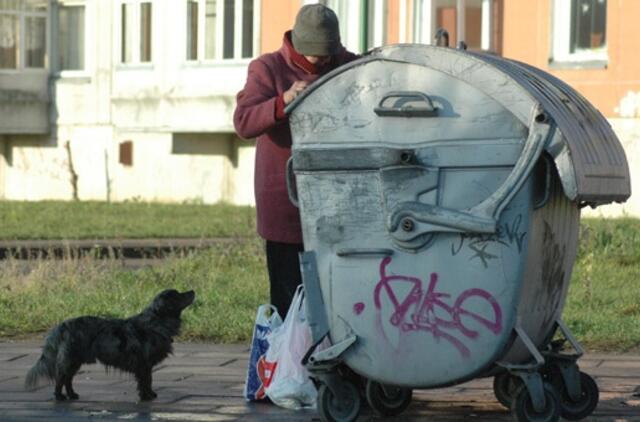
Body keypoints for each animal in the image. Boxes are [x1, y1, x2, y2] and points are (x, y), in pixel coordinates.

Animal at [25, 290, 194, 402]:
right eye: (178, 295)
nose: (192, 291)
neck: (156, 322)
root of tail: (62, 326)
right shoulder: (144, 364)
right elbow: (146, 381)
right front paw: (146, 397)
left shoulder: (146, 365)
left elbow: (149, 381)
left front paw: (150, 395)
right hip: (70, 360)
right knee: (61, 378)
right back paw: (60, 397)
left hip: (75, 361)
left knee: (68, 380)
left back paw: (72, 395)